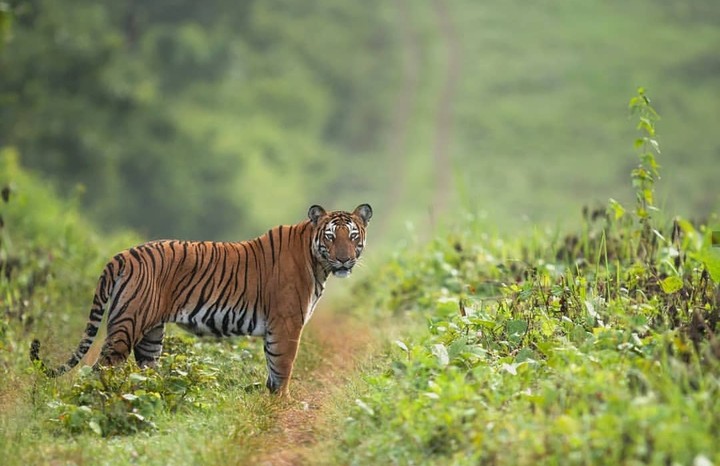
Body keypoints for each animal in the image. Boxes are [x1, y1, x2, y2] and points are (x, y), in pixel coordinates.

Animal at [30, 203, 372, 396]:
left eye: (353, 236)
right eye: (331, 236)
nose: (345, 259)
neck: (317, 262)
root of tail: (122, 255)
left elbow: (273, 371)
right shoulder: (286, 323)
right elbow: (283, 368)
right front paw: (282, 407)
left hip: (151, 334)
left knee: (143, 372)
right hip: (127, 325)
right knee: (100, 368)